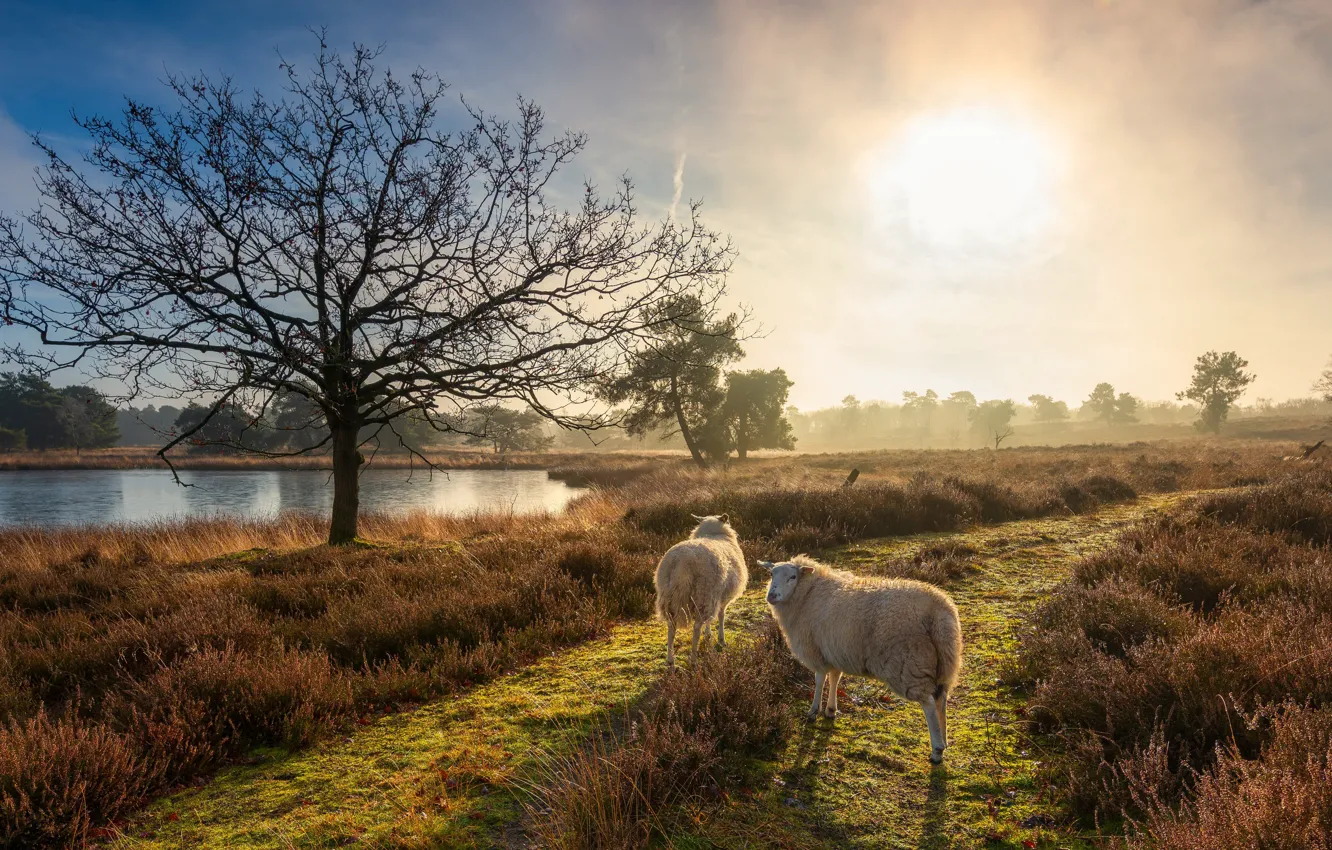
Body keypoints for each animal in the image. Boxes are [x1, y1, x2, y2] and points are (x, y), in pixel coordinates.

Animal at [654, 514, 747, 668]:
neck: (713, 534)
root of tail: (681, 564)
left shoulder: (717, 597)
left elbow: (712, 618)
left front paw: (709, 634)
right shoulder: (721, 597)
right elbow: (721, 615)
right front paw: (721, 639)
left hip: (669, 596)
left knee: (671, 626)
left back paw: (670, 659)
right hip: (704, 594)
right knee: (697, 627)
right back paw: (693, 659)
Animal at [761, 555, 963, 764]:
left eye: (792, 577)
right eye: (771, 574)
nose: (772, 596)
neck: (807, 594)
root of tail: (939, 611)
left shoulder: (817, 651)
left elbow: (819, 680)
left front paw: (814, 711)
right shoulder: (835, 651)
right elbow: (835, 678)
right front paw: (831, 710)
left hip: (910, 664)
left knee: (929, 703)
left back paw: (937, 750)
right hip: (943, 664)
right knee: (941, 699)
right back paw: (944, 740)